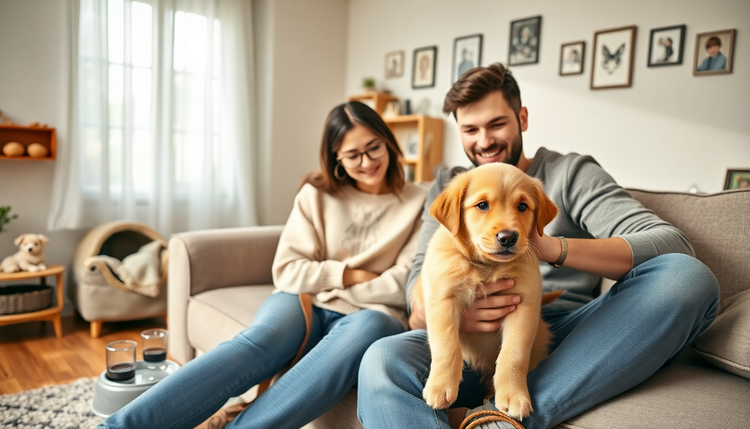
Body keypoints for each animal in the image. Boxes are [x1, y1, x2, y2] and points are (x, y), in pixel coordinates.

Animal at [414, 162, 560, 420]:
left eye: (523, 206)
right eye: (482, 205)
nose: (508, 237)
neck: (486, 267)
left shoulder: (524, 304)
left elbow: (514, 354)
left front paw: (513, 396)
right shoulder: (442, 299)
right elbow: (446, 346)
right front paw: (441, 386)